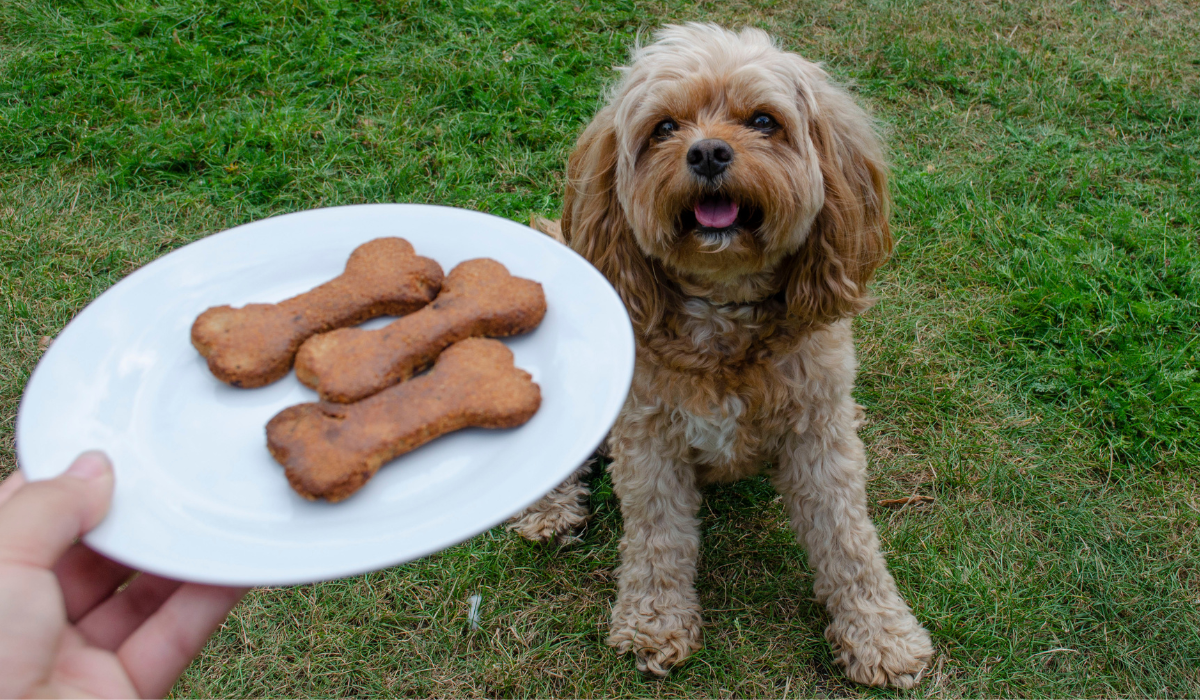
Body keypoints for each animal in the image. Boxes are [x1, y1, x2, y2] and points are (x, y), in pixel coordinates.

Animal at [511, 23, 931, 691]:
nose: (707, 153)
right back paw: (549, 509)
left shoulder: (818, 434)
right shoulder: (649, 439)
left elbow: (848, 540)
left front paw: (880, 634)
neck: (723, 309)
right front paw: (654, 622)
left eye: (763, 121)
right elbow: (658, 537)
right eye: (663, 127)